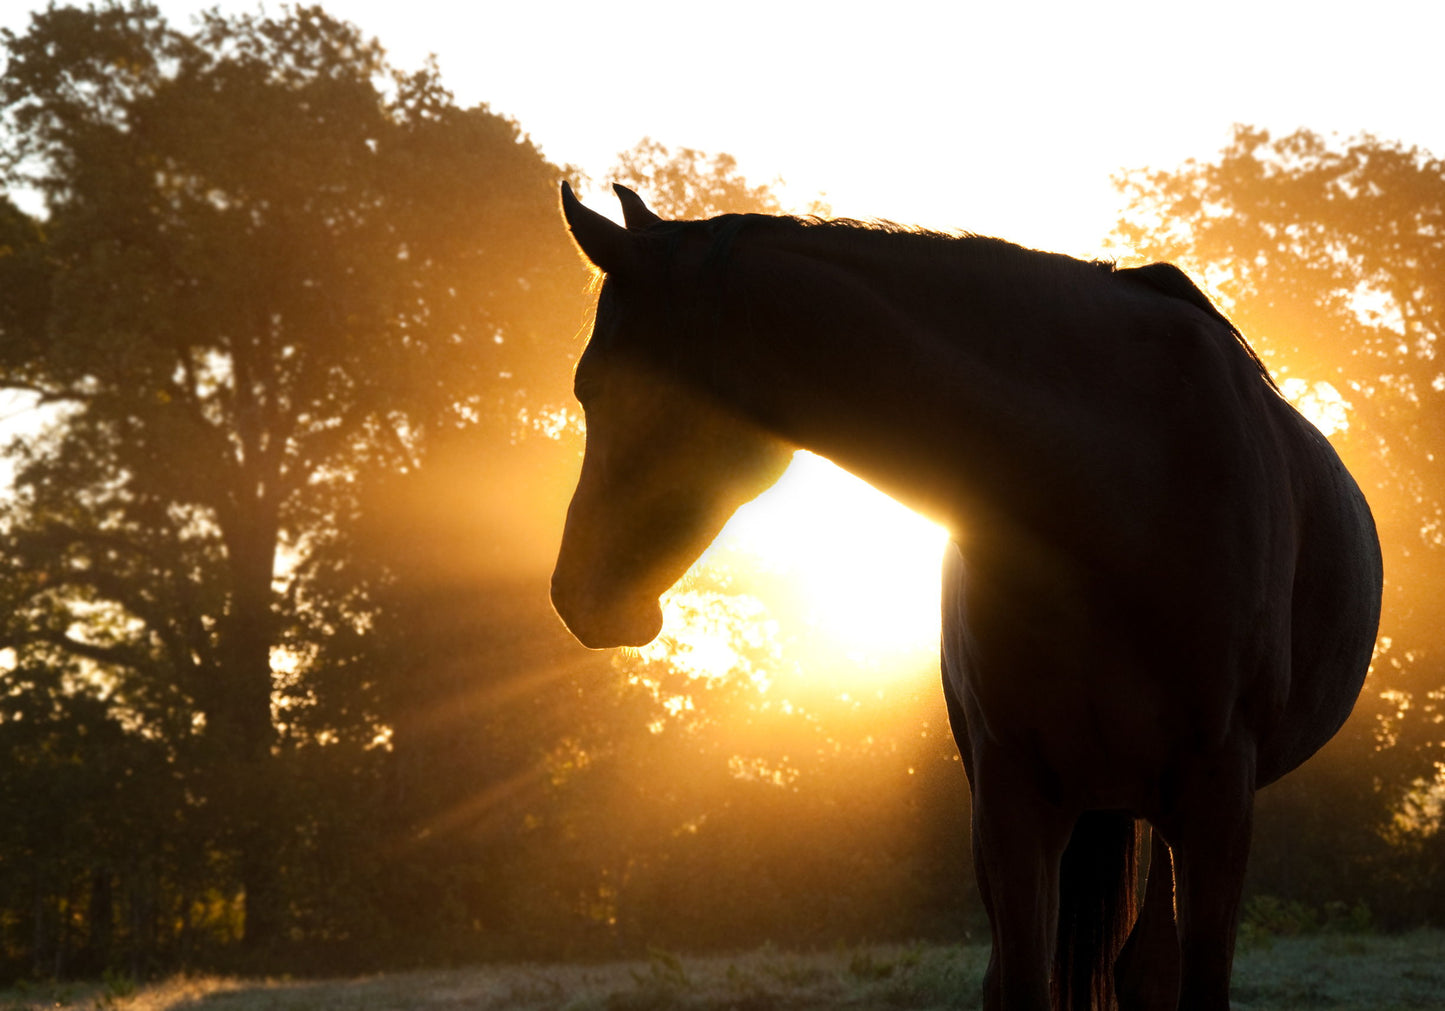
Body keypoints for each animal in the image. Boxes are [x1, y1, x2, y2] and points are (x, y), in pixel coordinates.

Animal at [549, 183, 1382, 1011]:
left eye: (594, 386)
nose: (573, 594)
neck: (1126, 484)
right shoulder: (1010, 795)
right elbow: (1017, 983)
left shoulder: (1216, 799)